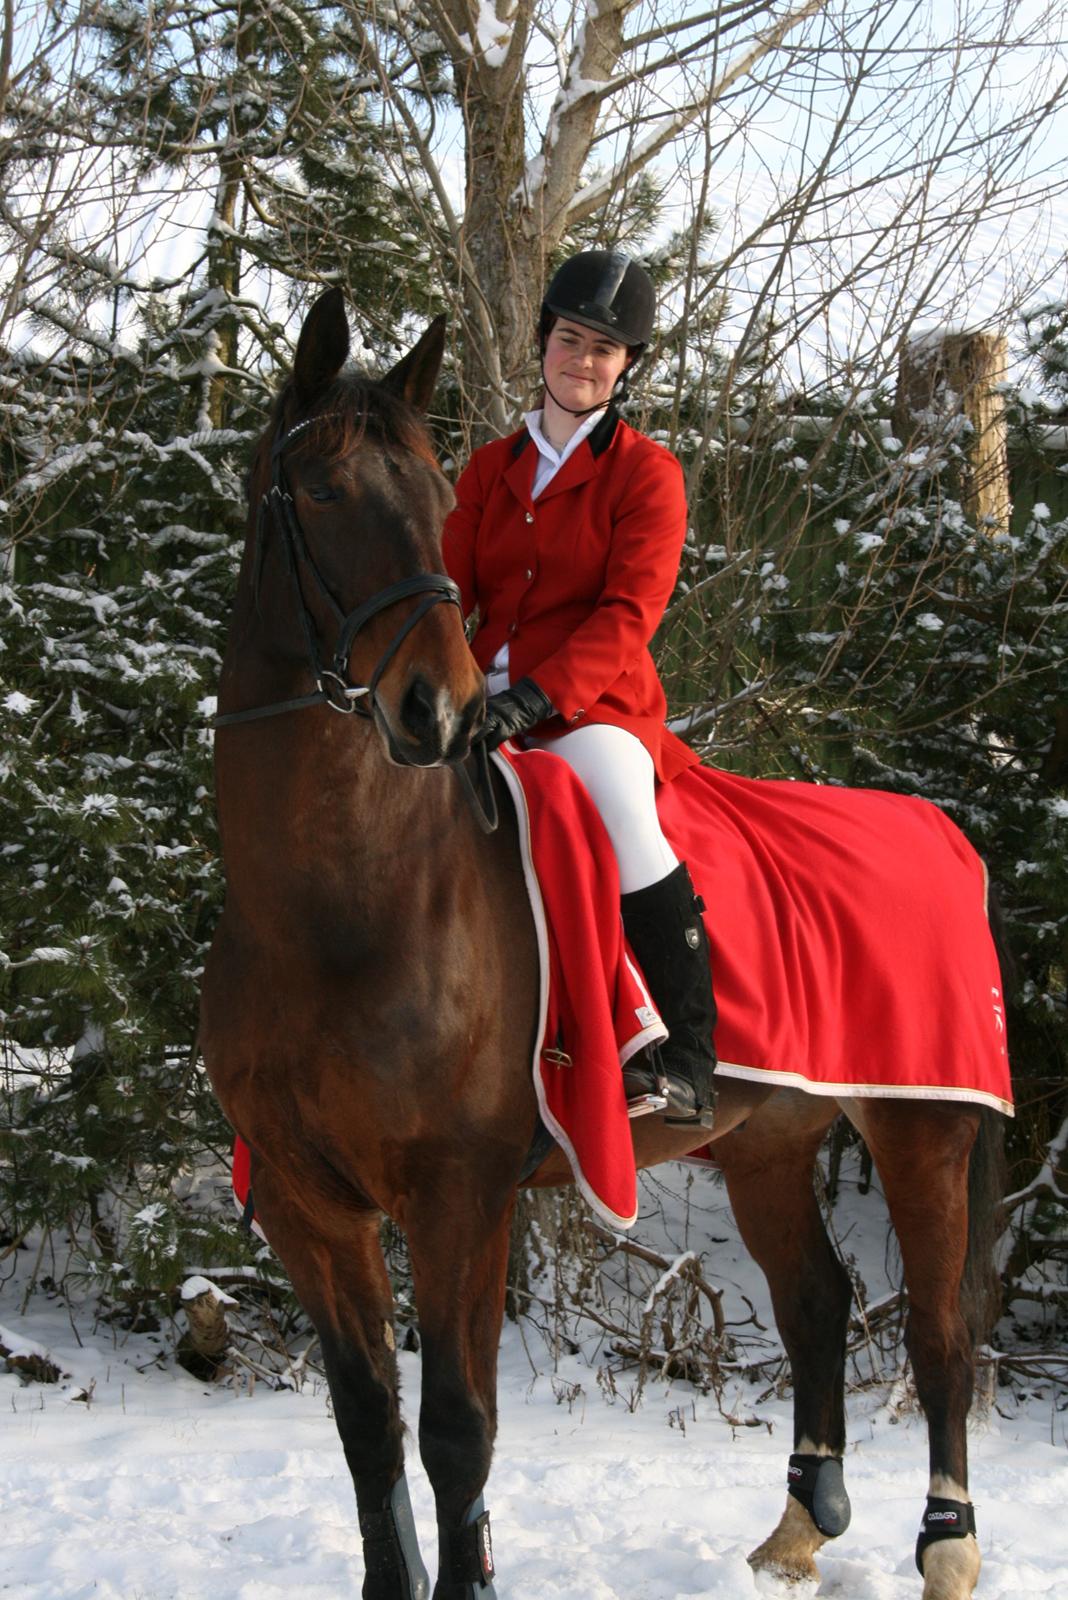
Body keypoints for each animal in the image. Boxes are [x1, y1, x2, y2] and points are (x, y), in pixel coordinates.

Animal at [202, 291, 1010, 1600]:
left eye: (435, 490)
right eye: (319, 490)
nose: (441, 708)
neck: (334, 913)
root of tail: (941, 832)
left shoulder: (460, 1193)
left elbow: (457, 1428)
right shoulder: (302, 1200)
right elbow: (368, 1423)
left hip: (922, 1128)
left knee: (939, 1327)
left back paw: (947, 1544)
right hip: (767, 1140)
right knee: (816, 1300)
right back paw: (800, 1526)